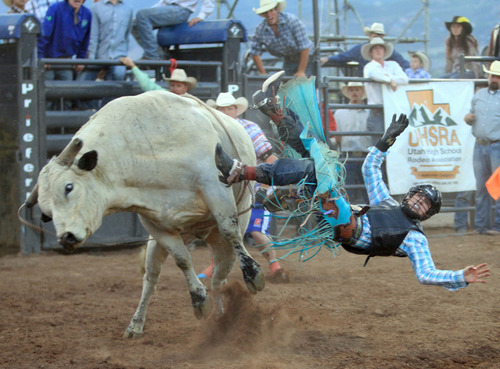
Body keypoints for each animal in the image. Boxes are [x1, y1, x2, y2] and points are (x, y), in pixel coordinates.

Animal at [25, 89, 264, 336]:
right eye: (46, 213)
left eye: (68, 187)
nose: (66, 237)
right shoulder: (155, 224)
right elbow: (182, 260)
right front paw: (198, 300)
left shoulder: (214, 186)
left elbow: (229, 231)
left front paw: (253, 274)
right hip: (168, 241)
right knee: (152, 278)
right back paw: (136, 324)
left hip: (228, 227)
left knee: (220, 274)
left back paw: (223, 316)